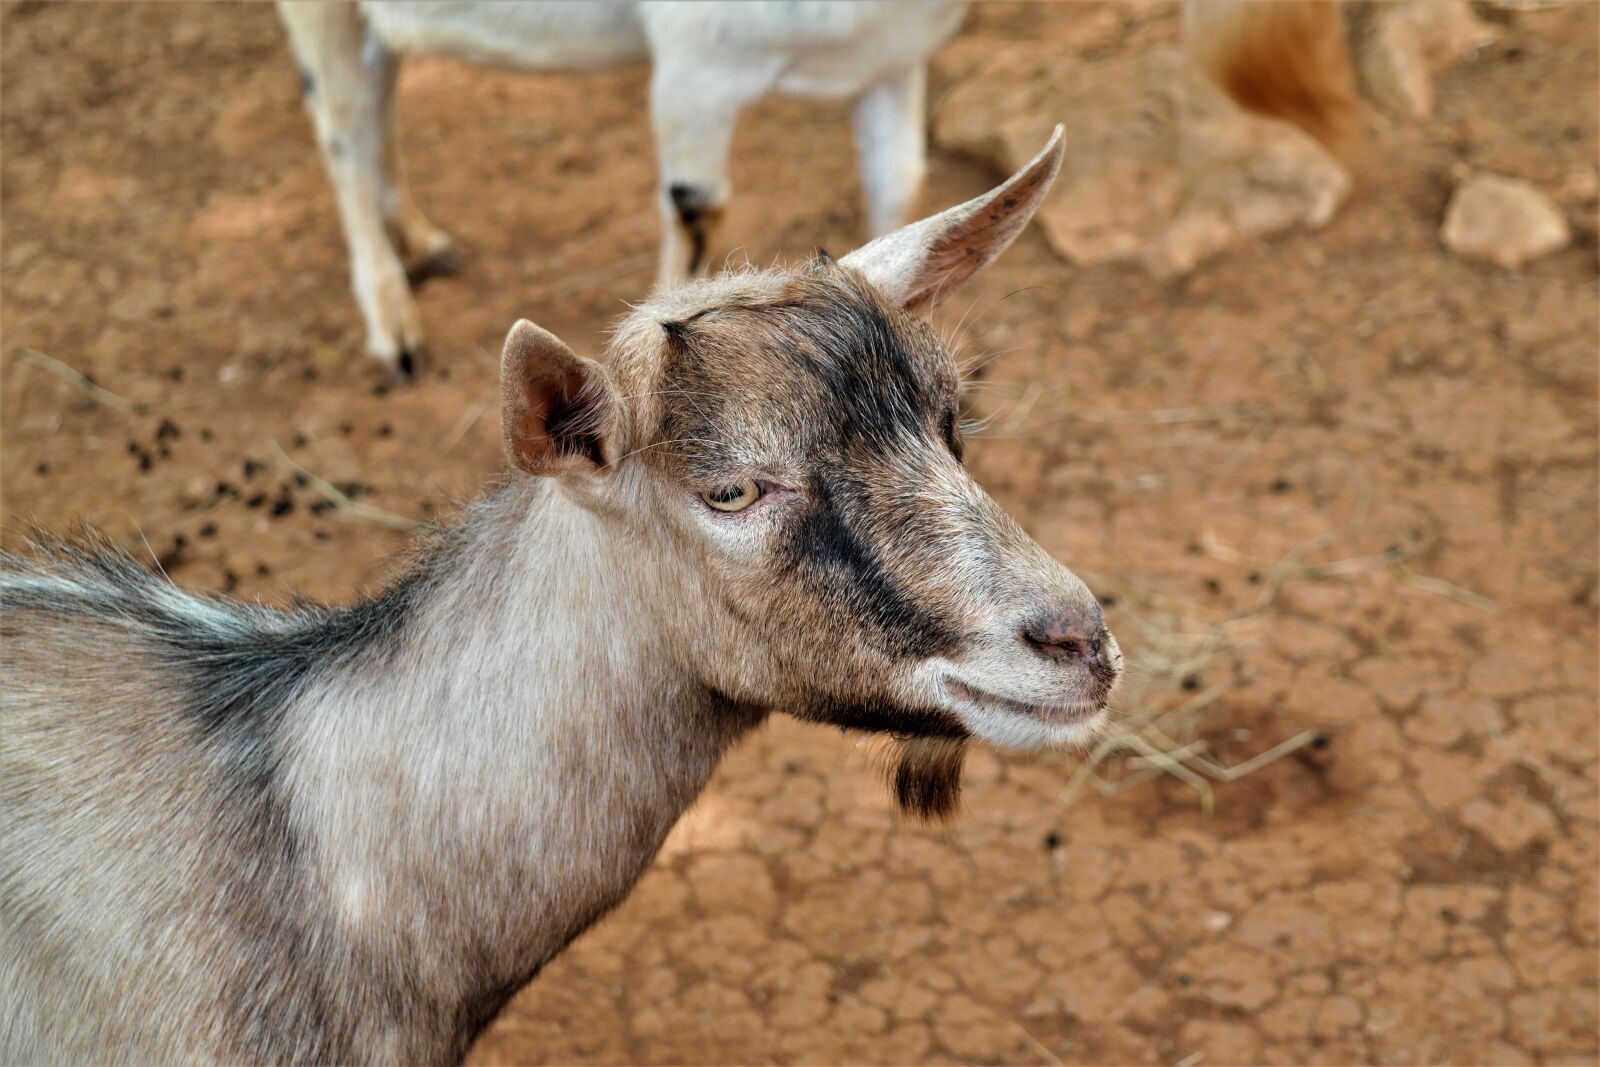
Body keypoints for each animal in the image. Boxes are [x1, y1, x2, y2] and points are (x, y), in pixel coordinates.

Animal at [278, 0, 960, 379]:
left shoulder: (892, 59)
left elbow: (900, 184)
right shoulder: (697, 72)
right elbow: (697, 226)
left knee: (377, 89)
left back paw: (420, 238)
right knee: (338, 120)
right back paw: (393, 321)